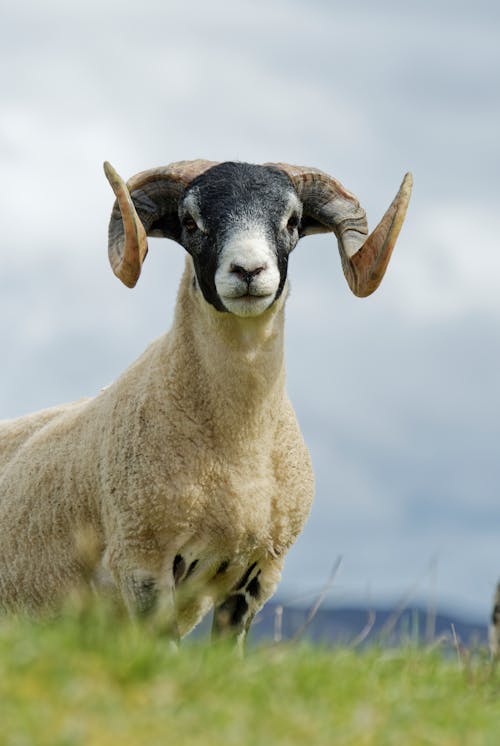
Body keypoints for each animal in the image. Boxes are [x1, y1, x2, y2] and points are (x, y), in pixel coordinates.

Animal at [0, 158, 410, 644]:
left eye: (292, 221)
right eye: (191, 221)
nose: (248, 270)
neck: (239, 446)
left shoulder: (257, 575)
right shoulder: (143, 561)